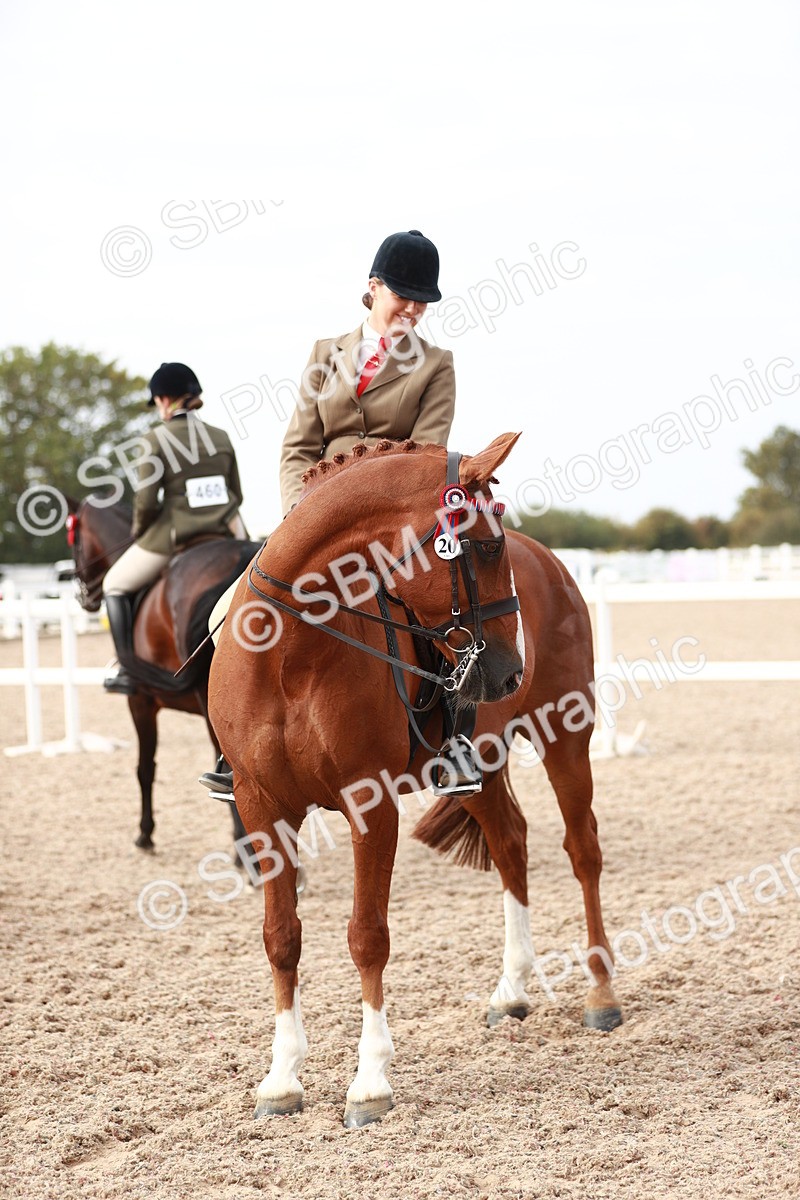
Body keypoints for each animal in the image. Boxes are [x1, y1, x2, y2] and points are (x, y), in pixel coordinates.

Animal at [207, 433, 622, 1127]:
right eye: (485, 546)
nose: (508, 672)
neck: (289, 649)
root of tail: (552, 562)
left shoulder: (369, 804)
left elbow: (367, 936)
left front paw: (370, 1083)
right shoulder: (260, 806)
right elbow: (281, 938)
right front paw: (281, 1079)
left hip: (566, 734)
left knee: (582, 849)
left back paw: (601, 994)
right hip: (483, 760)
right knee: (511, 844)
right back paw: (510, 991)